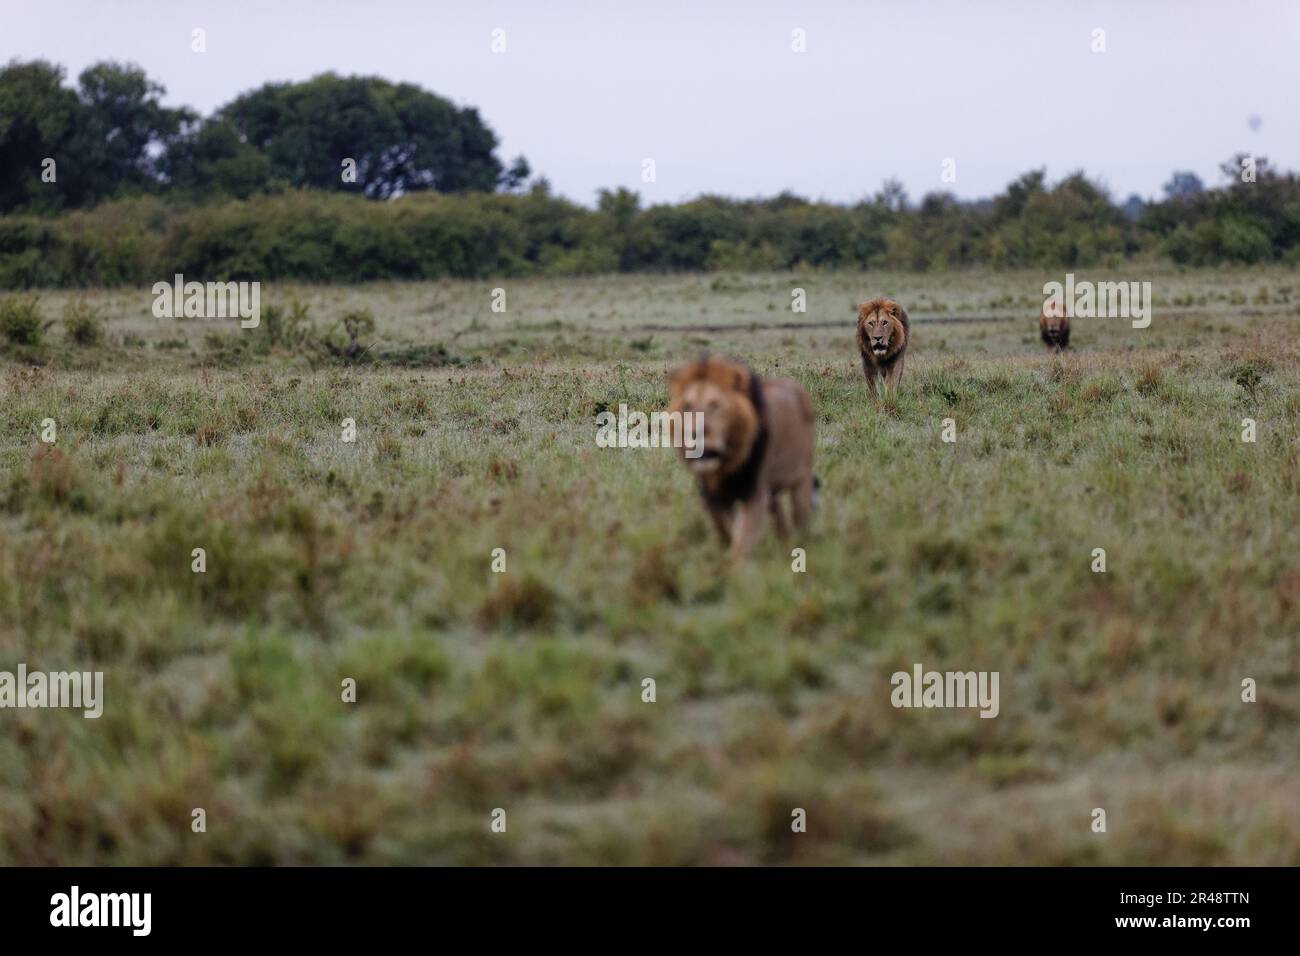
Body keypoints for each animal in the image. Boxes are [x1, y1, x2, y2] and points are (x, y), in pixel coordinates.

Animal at [667, 356, 818, 560]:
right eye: (687, 406)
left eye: (715, 404)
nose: (695, 433)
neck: (726, 463)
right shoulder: (714, 495)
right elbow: (727, 527)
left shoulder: (754, 492)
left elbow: (742, 538)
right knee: (779, 515)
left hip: (800, 479)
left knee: (801, 516)